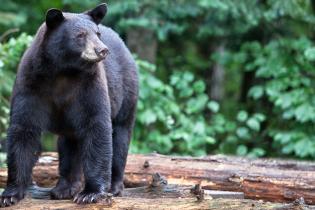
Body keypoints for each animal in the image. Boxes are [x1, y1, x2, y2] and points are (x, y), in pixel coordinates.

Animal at [0, 3, 138, 207]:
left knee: (120, 136)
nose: (102, 50)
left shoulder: (89, 85)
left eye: (97, 33)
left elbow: (96, 126)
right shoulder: (31, 83)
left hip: (126, 94)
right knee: (69, 146)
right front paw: (10, 194)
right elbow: (23, 128)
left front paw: (91, 193)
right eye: (80, 34)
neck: (64, 71)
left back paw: (114, 187)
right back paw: (64, 188)